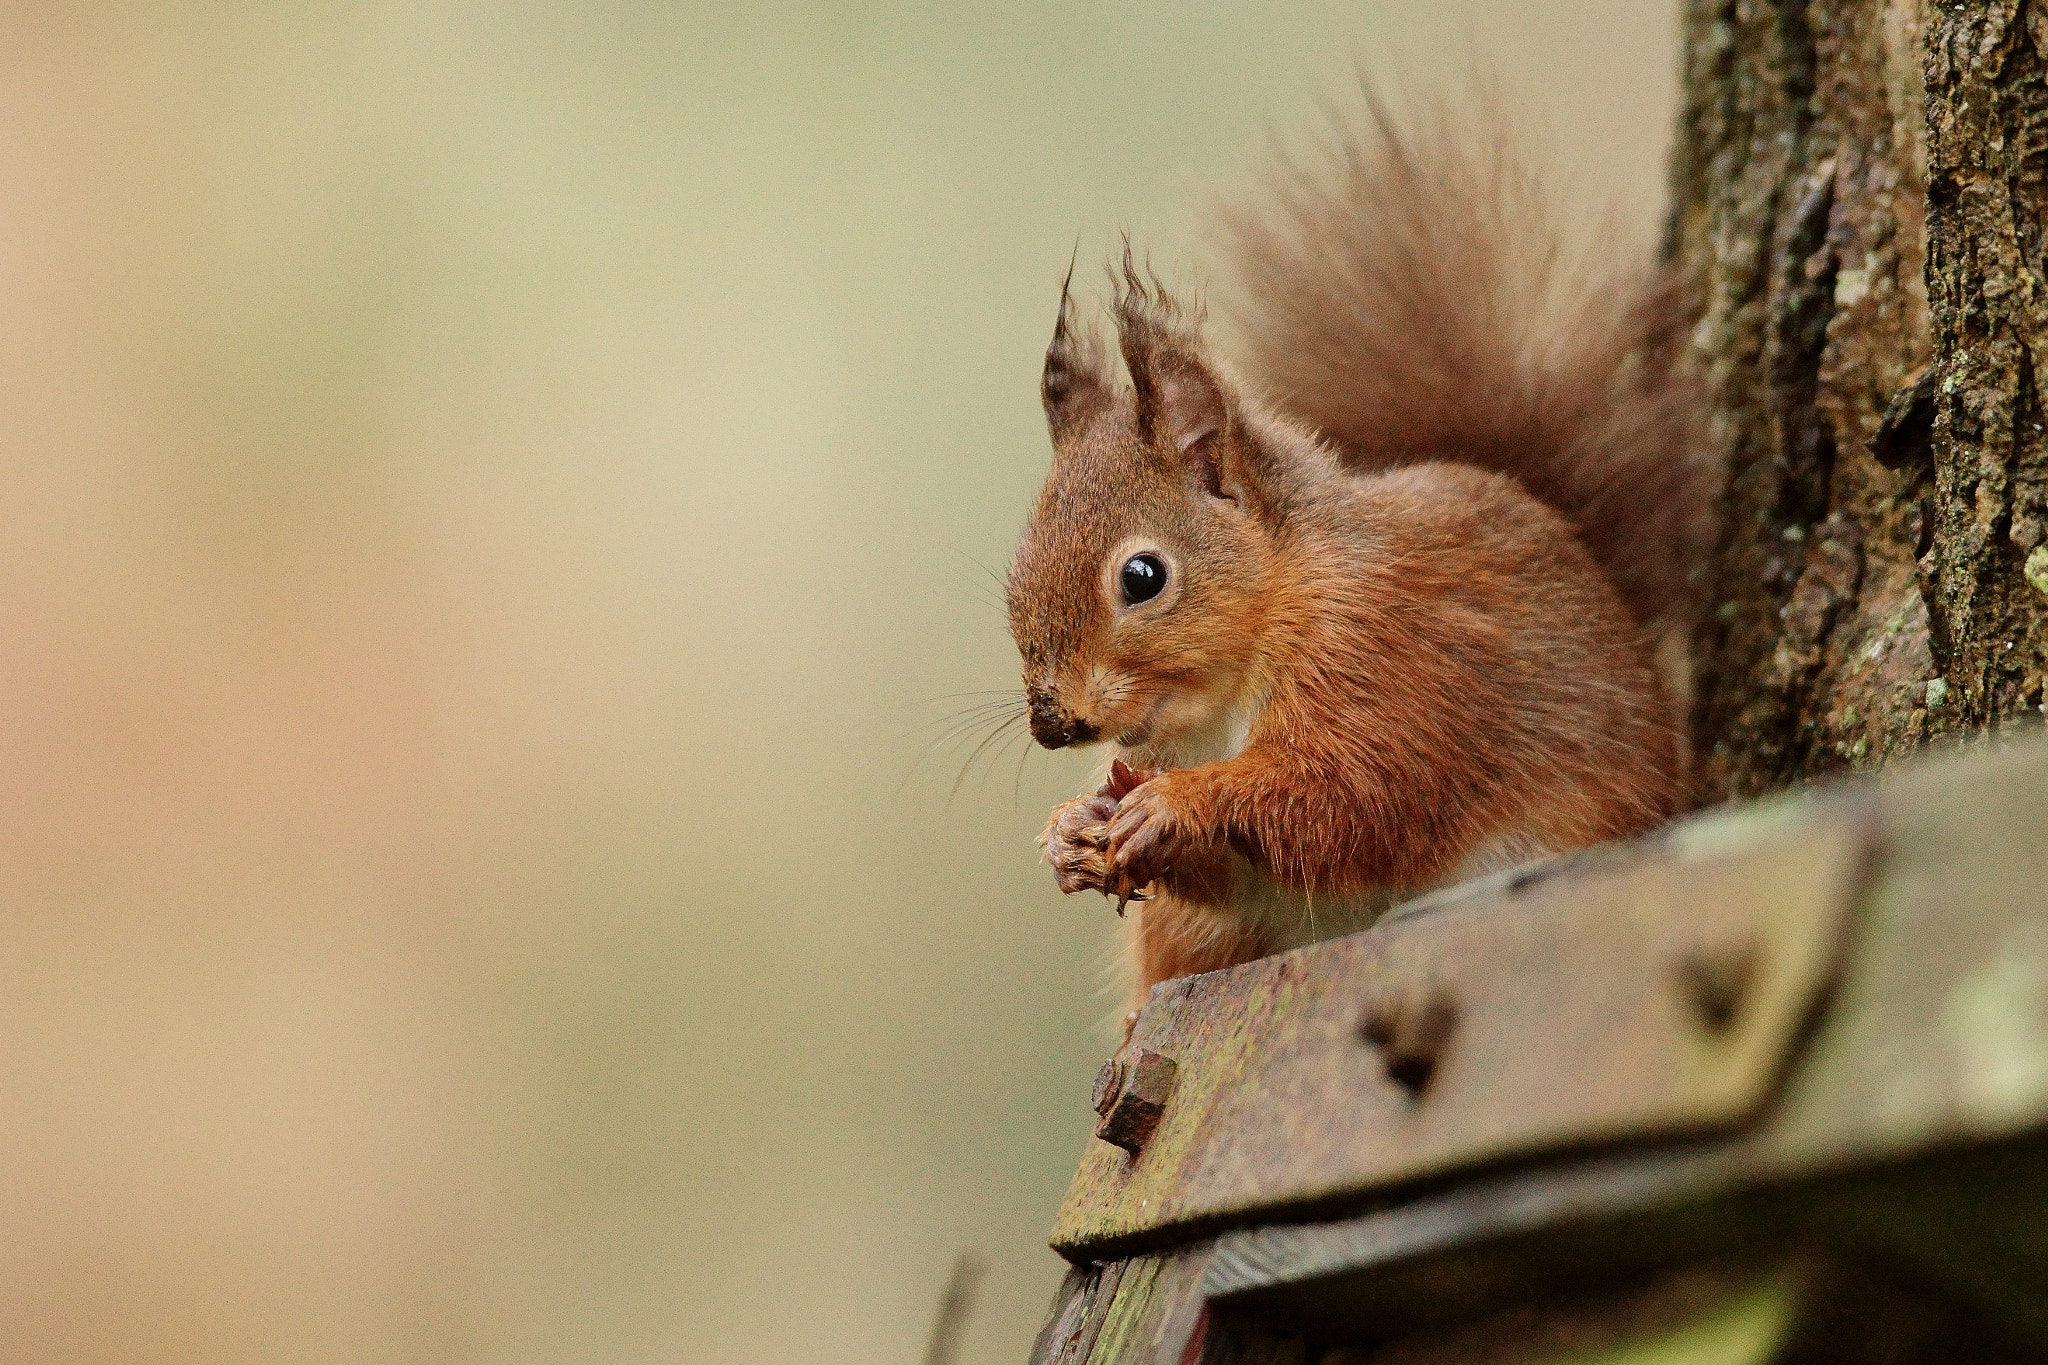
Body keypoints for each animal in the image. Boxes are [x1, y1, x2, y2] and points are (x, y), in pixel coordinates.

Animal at [999, 96, 1703, 1023]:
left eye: (1142, 577)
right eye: (1012, 585)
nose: (1054, 723)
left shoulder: (1383, 655)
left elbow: (1345, 797)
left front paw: (1178, 804)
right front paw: (1070, 830)